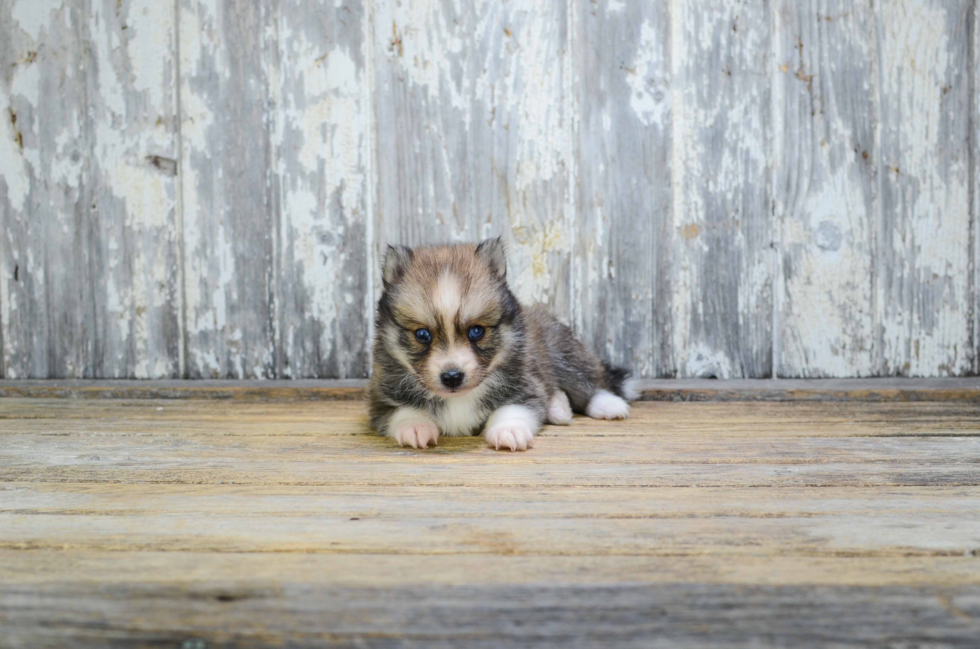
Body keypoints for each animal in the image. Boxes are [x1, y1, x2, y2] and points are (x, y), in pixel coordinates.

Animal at [368, 238, 636, 450]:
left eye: (476, 331)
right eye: (422, 334)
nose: (452, 377)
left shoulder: (524, 385)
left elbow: (513, 409)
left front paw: (509, 429)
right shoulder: (381, 395)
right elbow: (402, 410)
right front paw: (416, 426)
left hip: (564, 355)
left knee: (591, 382)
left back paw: (607, 404)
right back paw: (559, 408)